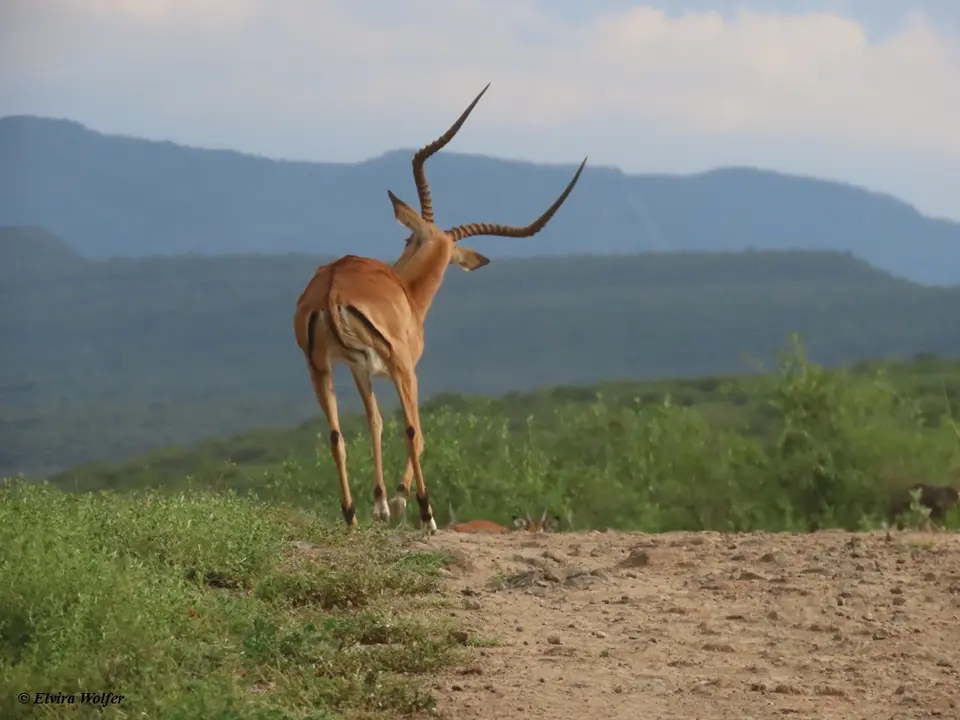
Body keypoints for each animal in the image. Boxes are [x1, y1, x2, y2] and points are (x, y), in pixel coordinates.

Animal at [294, 84, 587, 531]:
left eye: (406, 238)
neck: (407, 294)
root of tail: (333, 284)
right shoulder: (406, 367)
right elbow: (416, 431)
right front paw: (400, 502)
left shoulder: (360, 370)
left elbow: (374, 422)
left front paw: (381, 504)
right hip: (397, 367)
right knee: (413, 430)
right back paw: (426, 513)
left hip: (319, 367)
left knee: (336, 434)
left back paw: (351, 516)